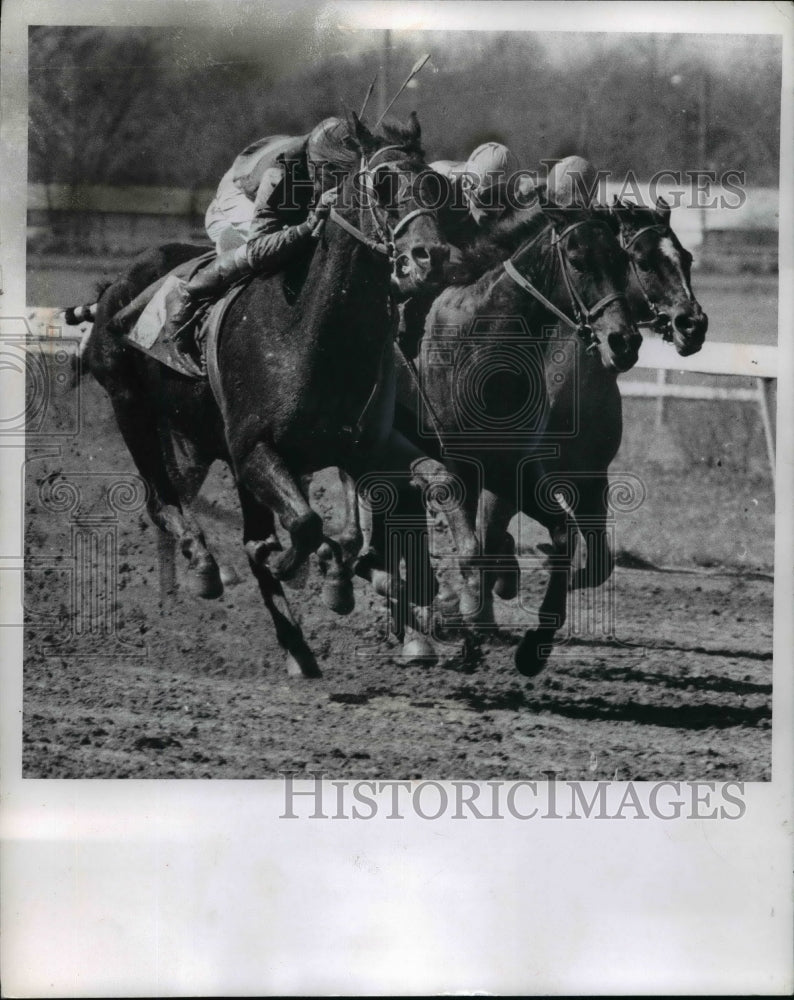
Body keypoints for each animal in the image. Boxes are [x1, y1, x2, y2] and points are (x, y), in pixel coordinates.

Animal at [77, 115, 480, 680]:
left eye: (436, 186)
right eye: (382, 185)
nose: (431, 258)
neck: (308, 334)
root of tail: (114, 287)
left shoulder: (363, 447)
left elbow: (439, 479)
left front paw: (461, 593)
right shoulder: (255, 450)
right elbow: (306, 528)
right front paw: (322, 573)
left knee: (247, 532)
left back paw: (299, 645)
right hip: (132, 410)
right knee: (165, 502)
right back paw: (207, 569)